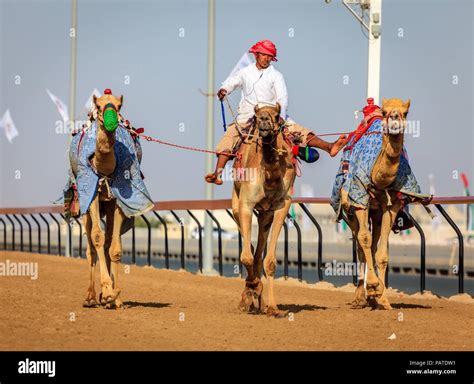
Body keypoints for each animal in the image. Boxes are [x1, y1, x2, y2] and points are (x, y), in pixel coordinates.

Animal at [231, 103, 294, 318]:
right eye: (257, 116)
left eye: (277, 116)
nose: (265, 120)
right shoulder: (246, 204)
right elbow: (246, 257)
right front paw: (252, 288)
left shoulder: (282, 206)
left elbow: (270, 261)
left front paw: (273, 307)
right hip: (236, 205)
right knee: (249, 247)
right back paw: (249, 296)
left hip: (266, 214)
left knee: (259, 250)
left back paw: (259, 299)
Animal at [340, 97, 412, 310]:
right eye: (386, 111)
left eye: (406, 113)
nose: (395, 118)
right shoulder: (359, 200)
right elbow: (364, 239)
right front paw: (372, 286)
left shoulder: (392, 207)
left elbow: (382, 252)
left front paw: (383, 298)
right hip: (350, 212)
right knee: (360, 244)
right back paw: (359, 297)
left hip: (377, 214)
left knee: (372, 245)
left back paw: (371, 297)